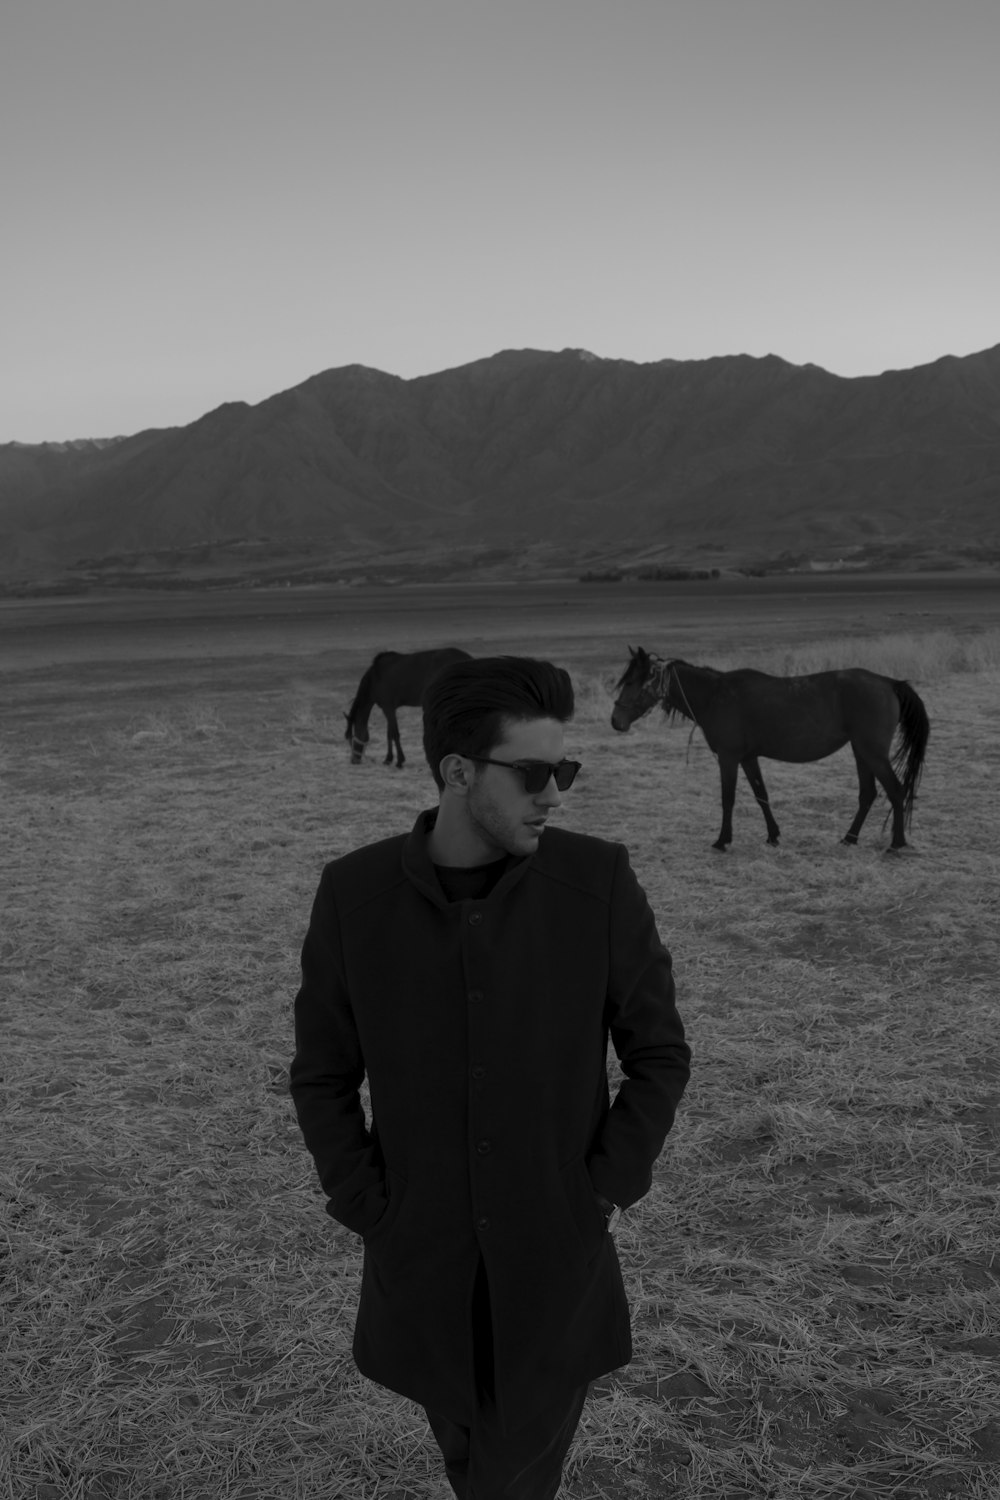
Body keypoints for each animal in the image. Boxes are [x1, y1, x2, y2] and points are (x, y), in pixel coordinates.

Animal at [344, 645, 473, 768]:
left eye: (352, 737)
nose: (353, 760)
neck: (375, 678)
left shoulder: (388, 708)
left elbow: (394, 734)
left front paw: (399, 761)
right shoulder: (389, 709)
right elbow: (389, 734)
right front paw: (388, 759)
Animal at [611, 648, 929, 852]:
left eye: (632, 681)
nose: (616, 721)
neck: (715, 696)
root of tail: (888, 682)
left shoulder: (728, 758)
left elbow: (728, 799)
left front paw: (722, 840)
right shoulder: (749, 758)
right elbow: (761, 795)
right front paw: (773, 836)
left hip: (872, 753)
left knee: (896, 790)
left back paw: (896, 843)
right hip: (861, 752)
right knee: (868, 794)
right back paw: (849, 839)